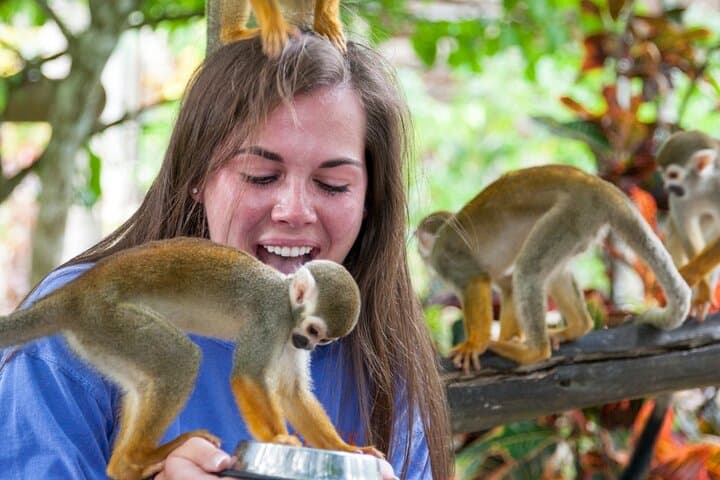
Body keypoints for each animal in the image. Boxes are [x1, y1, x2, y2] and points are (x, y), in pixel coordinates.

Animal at [0, 237, 381, 480]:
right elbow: (247, 375)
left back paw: (123, 466)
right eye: (314, 330)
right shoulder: (270, 317)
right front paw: (278, 440)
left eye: (324, 339)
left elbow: (291, 393)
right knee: (180, 360)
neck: (287, 304)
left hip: (99, 335)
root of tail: (76, 293)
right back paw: (142, 455)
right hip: (108, 318)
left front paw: (345, 449)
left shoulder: (286, 336)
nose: (307, 346)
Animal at [417, 165, 691, 371]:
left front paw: (476, 343)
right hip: (583, 226)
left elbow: (477, 279)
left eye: (419, 239)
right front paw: (511, 337)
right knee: (550, 272)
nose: (418, 249)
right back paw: (578, 326)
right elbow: (507, 287)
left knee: (528, 271)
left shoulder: (447, 259)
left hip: (572, 213)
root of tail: (601, 186)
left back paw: (534, 352)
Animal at [656, 130, 720, 316]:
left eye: (673, 175)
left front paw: (692, 274)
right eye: (663, 175)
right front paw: (703, 288)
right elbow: (685, 227)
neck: (703, 185)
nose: (667, 187)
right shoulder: (679, 197)